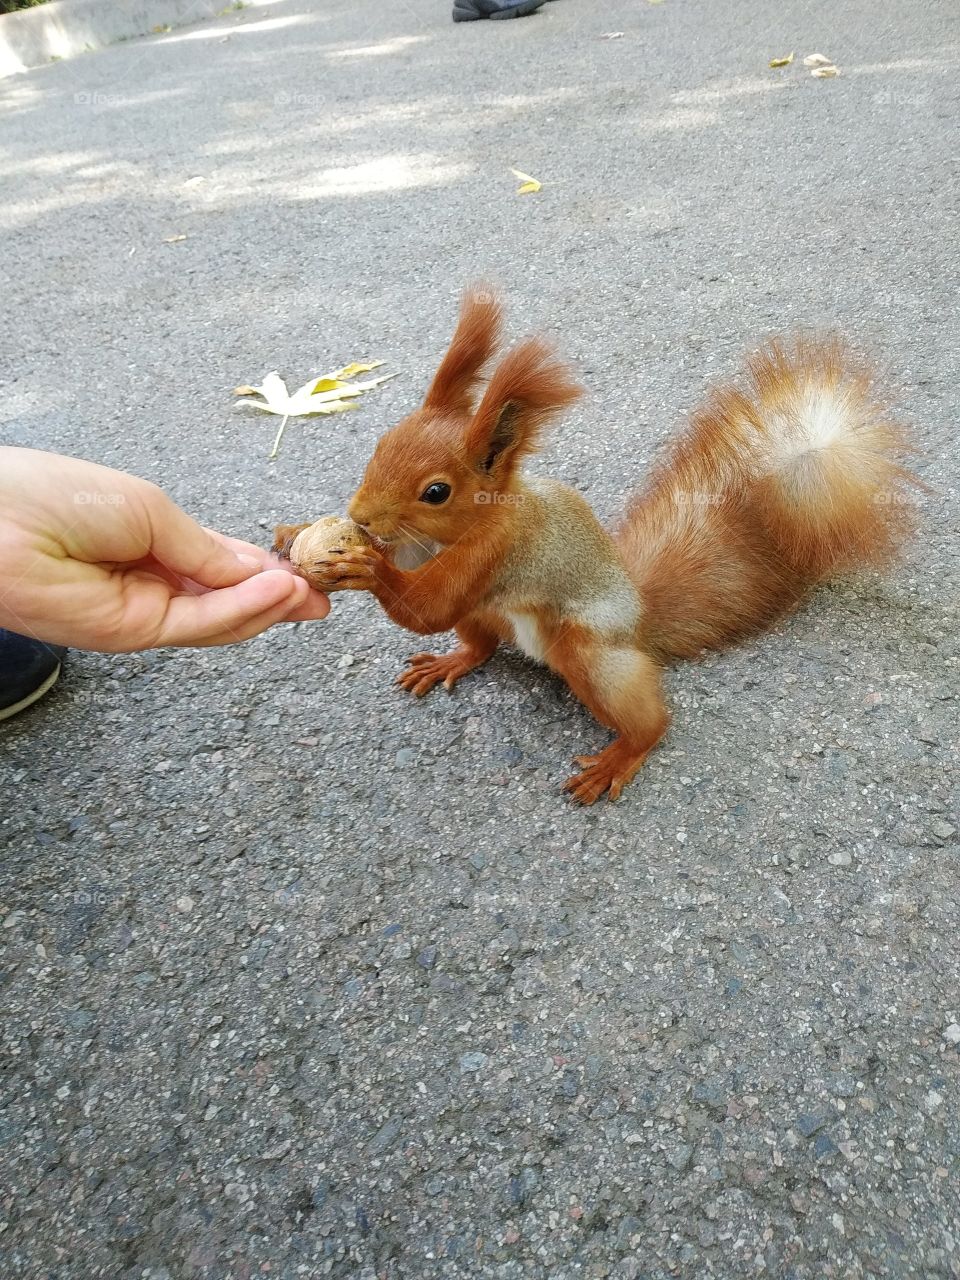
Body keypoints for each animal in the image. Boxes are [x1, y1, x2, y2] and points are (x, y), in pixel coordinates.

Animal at [276, 287, 920, 803]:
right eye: (382, 442)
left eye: (436, 492)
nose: (359, 515)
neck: (464, 528)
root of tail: (638, 619)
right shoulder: (430, 549)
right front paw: (295, 535)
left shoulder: (504, 548)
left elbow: (426, 608)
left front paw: (363, 564)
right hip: (489, 614)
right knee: (481, 644)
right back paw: (453, 659)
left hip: (588, 648)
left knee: (648, 718)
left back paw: (620, 756)